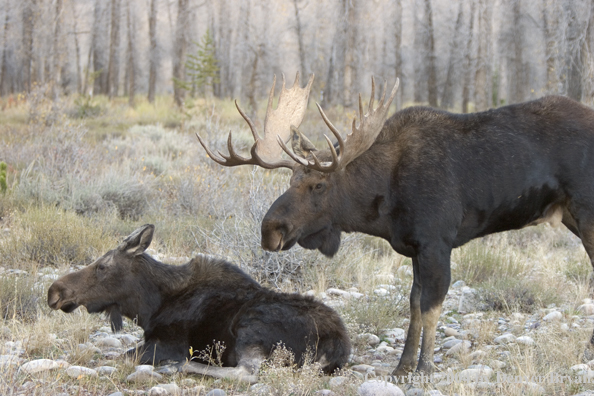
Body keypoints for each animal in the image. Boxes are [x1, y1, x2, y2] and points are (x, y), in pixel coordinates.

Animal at [49, 224, 352, 382]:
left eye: (102, 266)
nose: (54, 291)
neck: (150, 307)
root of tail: (337, 344)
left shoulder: (167, 343)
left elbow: (118, 356)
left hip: (252, 326)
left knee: (246, 373)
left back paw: (177, 367)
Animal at [197, 73, 592, 374]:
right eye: (291, 180)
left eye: (319, 184)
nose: (270, 230)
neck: (385, 199)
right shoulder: (414, 248)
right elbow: (414, 305)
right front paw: (402, 367)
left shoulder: (437, 243)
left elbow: (432, 306)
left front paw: (425, 368)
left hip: (586, 212)